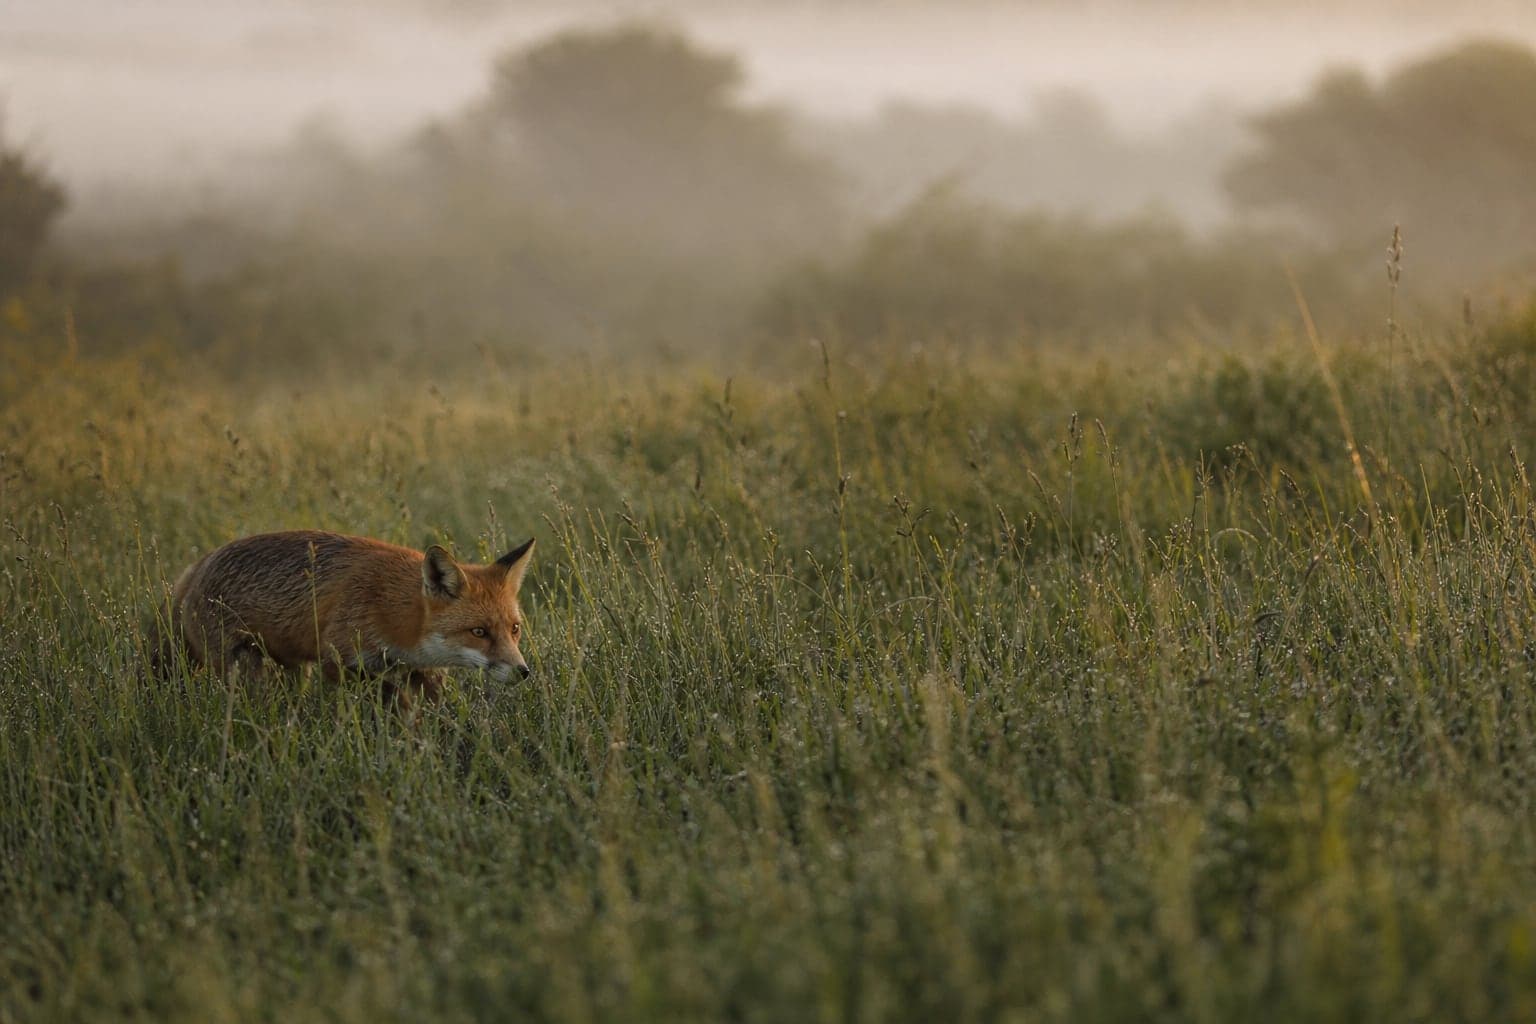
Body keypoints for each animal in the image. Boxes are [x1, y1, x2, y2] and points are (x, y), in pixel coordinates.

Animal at [154, 530, 534, 705]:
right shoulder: (339, 662)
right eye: (479, 632)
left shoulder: (420, 672)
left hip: (296, 670)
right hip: (246, 671)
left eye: (514, 629)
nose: (523, 672)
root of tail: (195, 568)